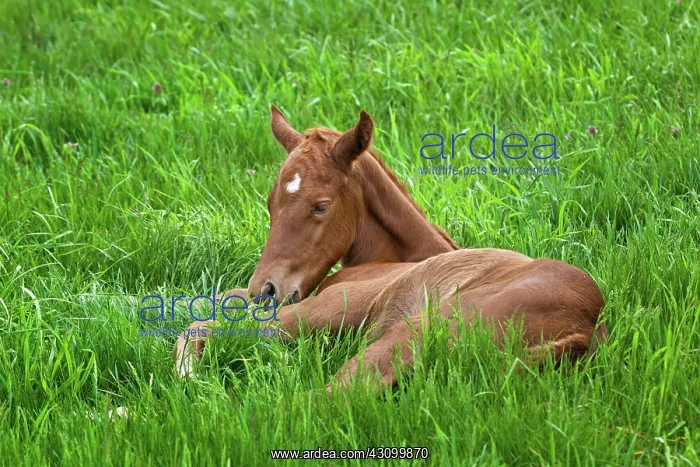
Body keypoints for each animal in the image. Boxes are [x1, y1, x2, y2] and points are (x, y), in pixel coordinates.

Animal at [173, 106, 607, 394]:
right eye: (269, 201)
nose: (266, 290)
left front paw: (188, 373)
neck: (401, 259)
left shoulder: (332, 304)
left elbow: (204, 321)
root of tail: (583, 332)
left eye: (321, 206)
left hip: (407, 334)